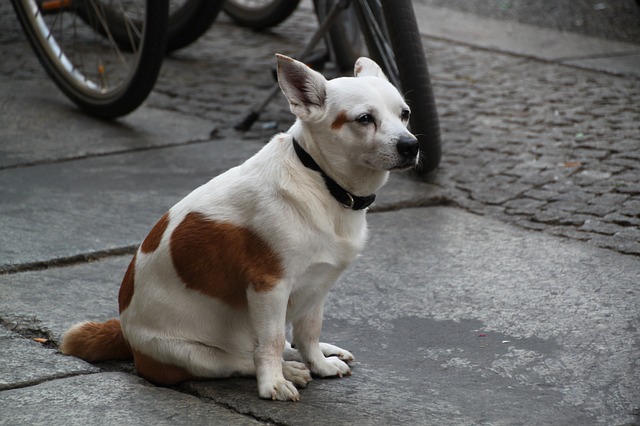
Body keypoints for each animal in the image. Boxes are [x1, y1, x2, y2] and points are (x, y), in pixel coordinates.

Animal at [61, 52, 420, 400]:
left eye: (404, 114)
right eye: (364, 119)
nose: (411, 145)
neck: (321, 179)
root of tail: (125, 334)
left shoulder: (317, 286)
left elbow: (308, 332)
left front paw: (319, 363)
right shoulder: (269, 287)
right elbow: (270, 343)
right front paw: (273, 384)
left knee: (281, 344)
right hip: (192, 355)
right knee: (241, 359)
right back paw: (287, 371)